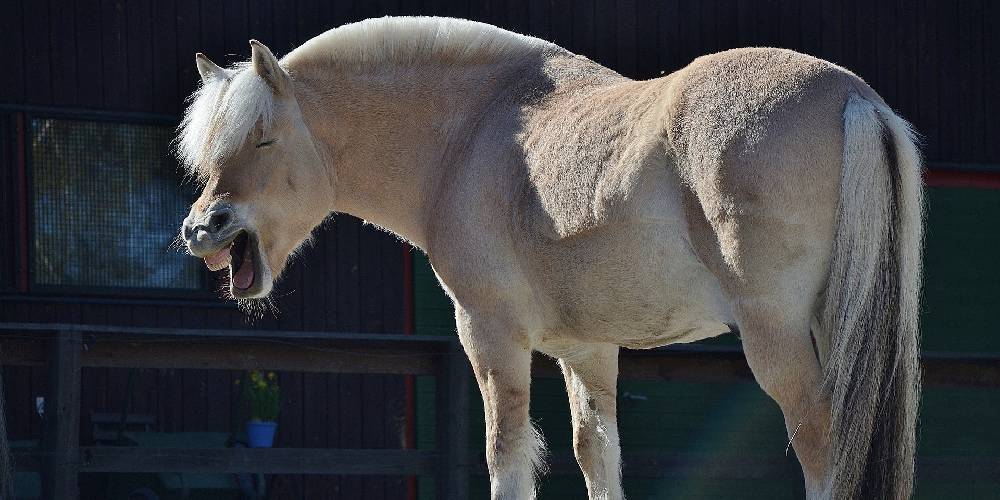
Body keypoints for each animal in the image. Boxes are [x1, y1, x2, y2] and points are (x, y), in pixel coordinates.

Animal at [178, 17, 922, 500]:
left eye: (264, 138)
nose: (202, 228)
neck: (470, 133)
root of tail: (854, 99)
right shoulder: (588, 351)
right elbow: (598, 457)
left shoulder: (490, 335)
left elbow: (506, 456)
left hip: (779, 339)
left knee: (823, 443)